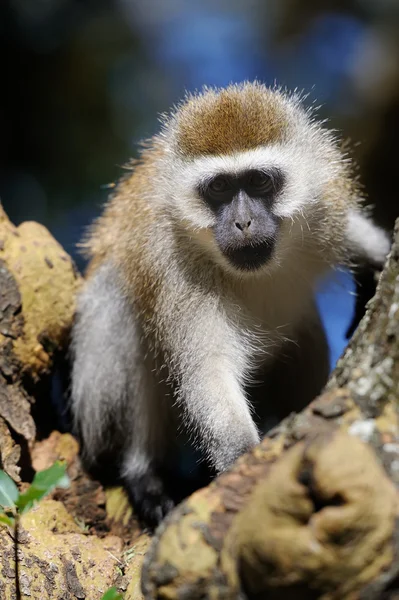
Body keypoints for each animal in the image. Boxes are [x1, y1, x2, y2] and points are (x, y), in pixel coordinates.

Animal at [70, 81, 392, 524]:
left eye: (258, 181)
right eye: (219, 188)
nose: (242, 223)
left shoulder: (323, 211)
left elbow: (353, 231)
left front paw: (375, 261)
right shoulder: (178, 267)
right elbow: (210, 368)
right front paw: (242, 459)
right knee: (115, 300)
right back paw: (140, 470)